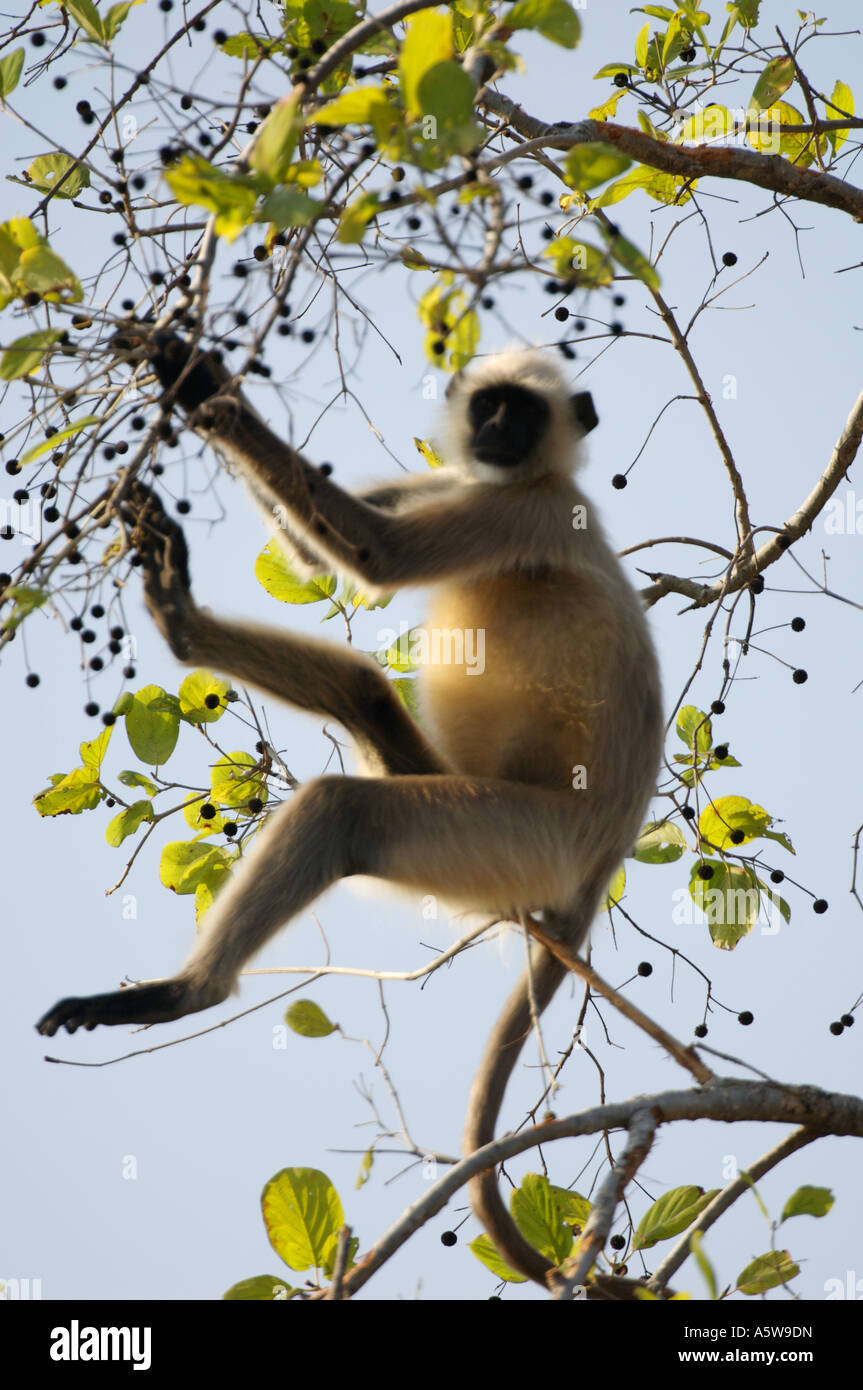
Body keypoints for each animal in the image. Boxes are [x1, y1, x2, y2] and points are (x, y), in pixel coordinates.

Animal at [35, 330, 658, 1284]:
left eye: (523, 413)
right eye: (489, 407)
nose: (498, 434)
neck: (528, 477)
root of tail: (602, 860)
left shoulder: (529, 512)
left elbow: (375, 554)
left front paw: (193, 376)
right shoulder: (466, 482)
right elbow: (318, 557)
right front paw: (193, 381)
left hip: (514, 834)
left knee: (341, 809)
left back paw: (183, 994)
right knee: (362, 692)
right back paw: (184, 623)